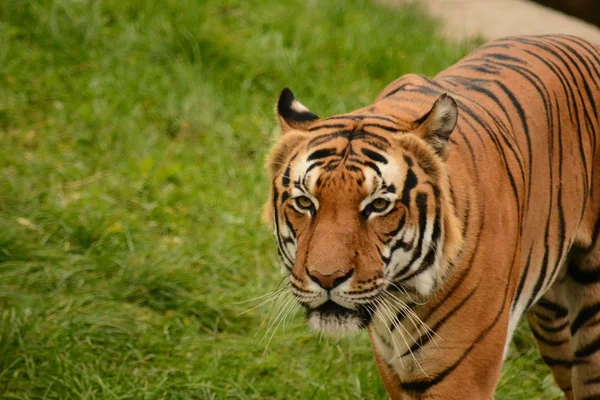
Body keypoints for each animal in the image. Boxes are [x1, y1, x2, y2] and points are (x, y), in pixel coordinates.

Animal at [264, 35, 600, 400]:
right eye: (304, 202)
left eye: (378, 205)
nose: (326, 279)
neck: (400, 299)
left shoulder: (461, 379)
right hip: (555, 324)